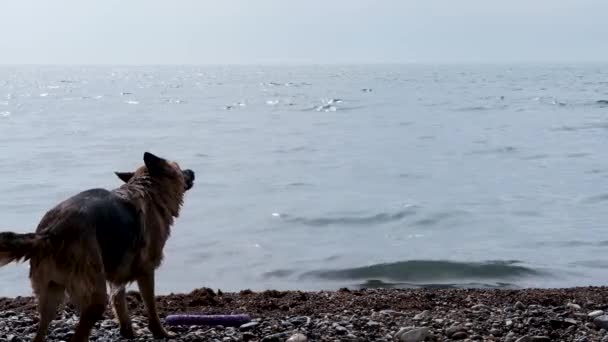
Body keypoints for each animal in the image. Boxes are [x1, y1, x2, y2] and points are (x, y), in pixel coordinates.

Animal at [0, 152, 195, 342]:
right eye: (178, 167)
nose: (192, 171)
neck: (148, 189)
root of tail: (53, 231)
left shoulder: (118, 272)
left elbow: (119, 300)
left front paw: (127, 331)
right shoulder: (146, 271)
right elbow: (151, 307)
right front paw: (161, 333)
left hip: (50, 295)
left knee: (41, 333)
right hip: (95, 297)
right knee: (78, 336)